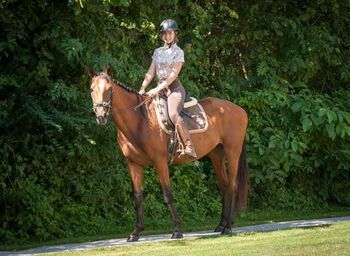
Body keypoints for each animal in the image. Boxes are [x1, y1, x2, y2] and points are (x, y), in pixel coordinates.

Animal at [89, 65, 250, 241]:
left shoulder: (159, 161)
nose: (101, 116)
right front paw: (136, 232)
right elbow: (138, 196)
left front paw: (177, 230)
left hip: (232, 152)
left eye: (110, 89)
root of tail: (239, 109)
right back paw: (222, 224)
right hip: (216, 155)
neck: (140, 121)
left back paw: (227, 227)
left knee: (232, 186)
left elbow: (168, 194)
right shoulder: (134, 164)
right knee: (225, 186)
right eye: (92, 89)